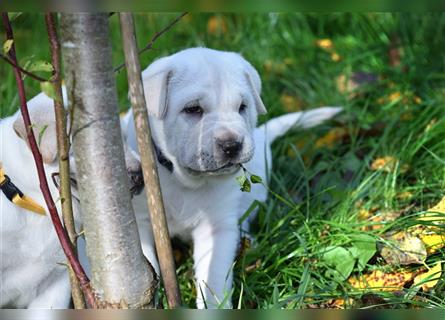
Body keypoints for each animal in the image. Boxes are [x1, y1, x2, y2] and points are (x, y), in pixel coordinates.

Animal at [121, 47, 340, 308]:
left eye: (242, 107)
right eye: (192, 109)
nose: (232, 145)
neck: (184, 180)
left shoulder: (216, 227)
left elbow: (213, 278)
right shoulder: (141, 221)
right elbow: (148, 263)